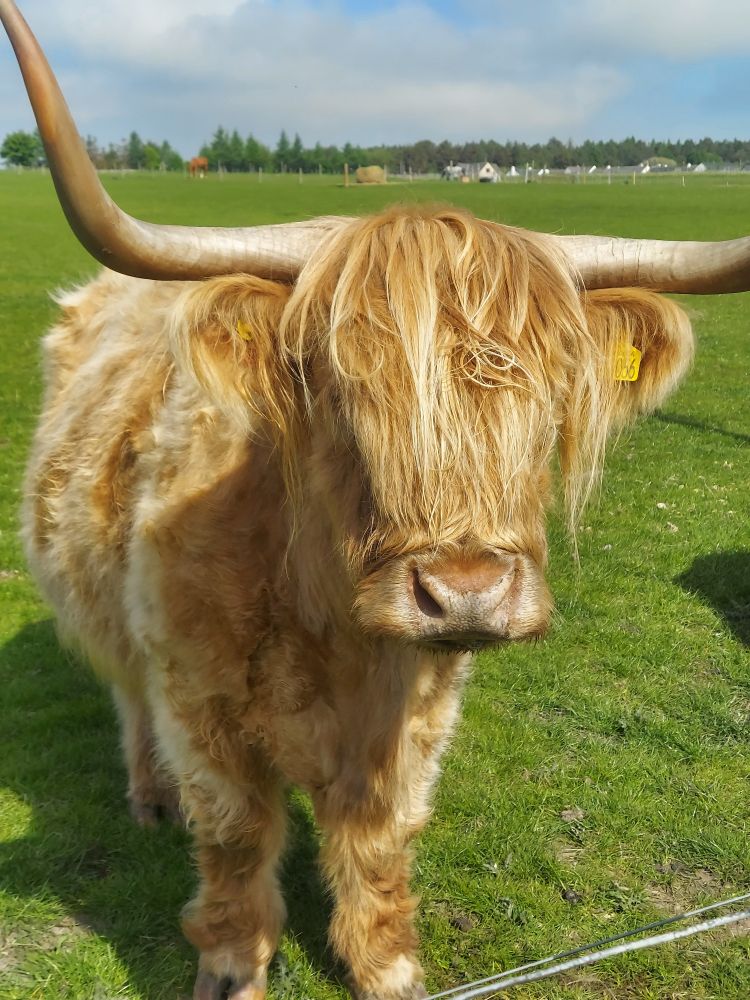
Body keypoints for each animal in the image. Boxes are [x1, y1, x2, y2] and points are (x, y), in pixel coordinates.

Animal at [3, 3, 750, 999]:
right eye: (336, 385)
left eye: (556, 386)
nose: (466, 591)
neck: (333, 628)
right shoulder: (199, 705)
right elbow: (236, 842)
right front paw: (231, 968)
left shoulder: (419, 716)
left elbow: (379, 843)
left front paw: (388, 966)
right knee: (127, 698)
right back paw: (148, 798)